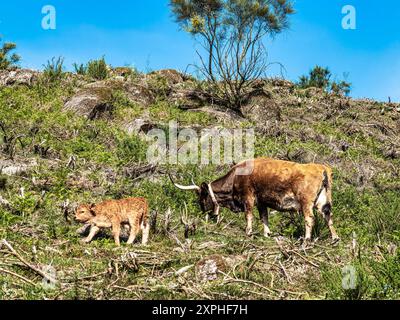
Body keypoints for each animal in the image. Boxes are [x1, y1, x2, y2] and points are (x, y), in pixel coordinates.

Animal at [170, 158, 340, 242]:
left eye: (202, 195)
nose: (203, 210)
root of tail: (321, 168)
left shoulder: (248, 198)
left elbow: (249, 215)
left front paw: (248, 232)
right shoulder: (262, 202)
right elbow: (264, 217)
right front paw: (266, 234)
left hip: (306, 202)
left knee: (309, 219)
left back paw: (306, 239)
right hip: (324, 201)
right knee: (328, 216)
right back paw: (335, 238)